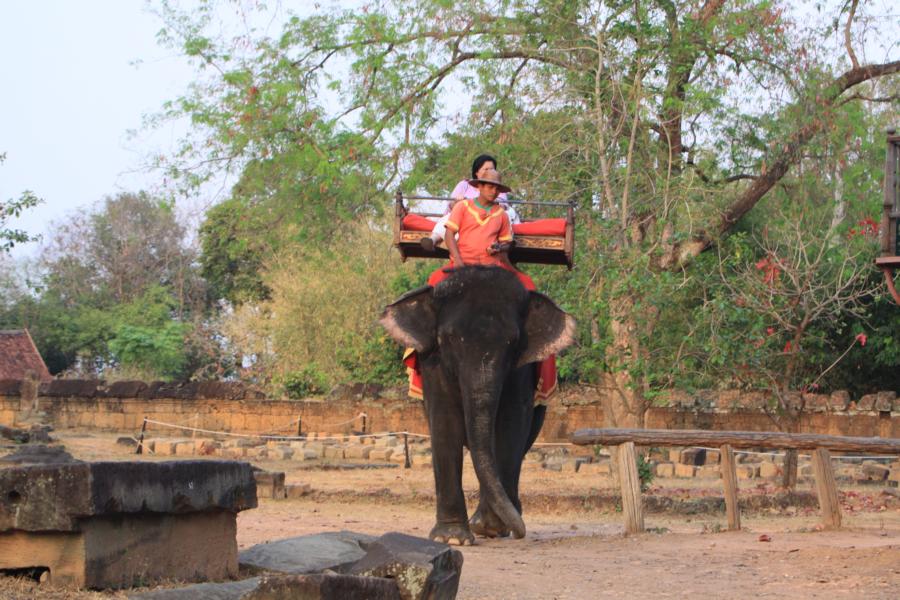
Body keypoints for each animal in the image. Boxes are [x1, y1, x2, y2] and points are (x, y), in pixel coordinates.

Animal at [380, 266, 576, 544]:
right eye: (450, 338)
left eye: (513, 341)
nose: (520, 531)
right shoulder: (433, 360)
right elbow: (445, 419)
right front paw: (451, 538)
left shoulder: (521, 369)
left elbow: (510, 423)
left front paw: (490, 527)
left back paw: (492, 523)